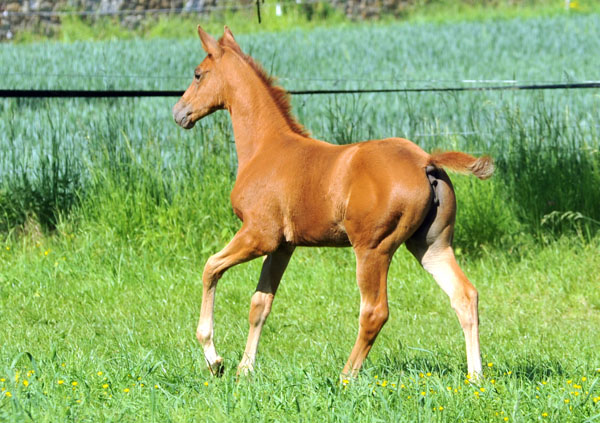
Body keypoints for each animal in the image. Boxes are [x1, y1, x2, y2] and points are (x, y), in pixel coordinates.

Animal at [172, 24, 492, 380]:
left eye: (197, 74)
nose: (179, 113)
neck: (266, 148)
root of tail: (425, 160)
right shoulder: (283, 247)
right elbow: (260, 304)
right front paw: (244, 369)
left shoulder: (258, 235)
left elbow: (210, 267)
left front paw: (214, 359)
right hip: (431, 246)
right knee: (465, 296)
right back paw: (475, 376)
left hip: (373, 250)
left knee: (375, 311)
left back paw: (346, 376)